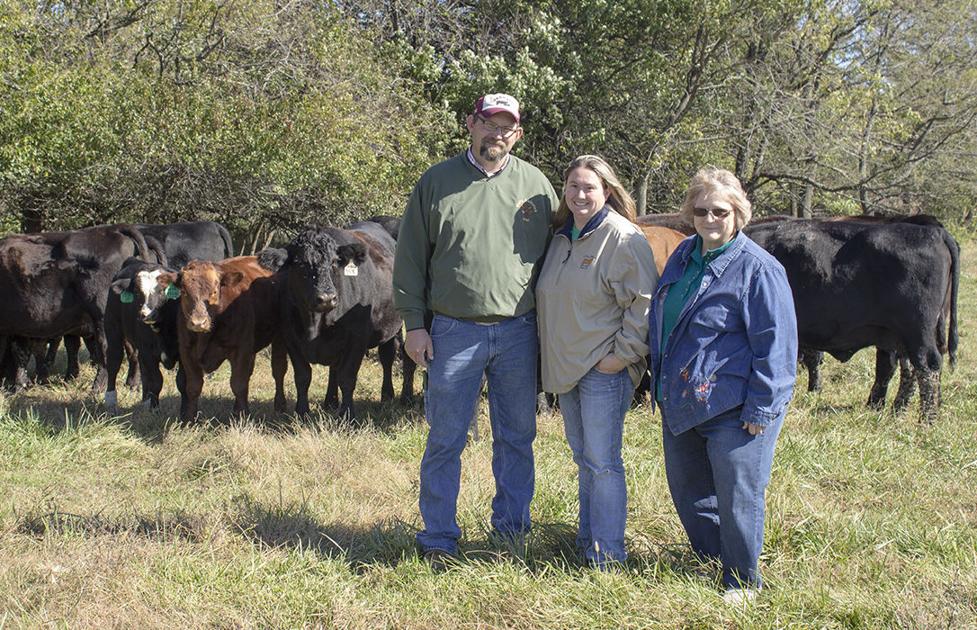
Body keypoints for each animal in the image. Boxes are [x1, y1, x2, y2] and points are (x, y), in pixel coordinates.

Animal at [103, 258, 181, 412]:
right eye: (137, 293)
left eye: (162, 290)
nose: (146, 314)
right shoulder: (148, 352)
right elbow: (156, 380)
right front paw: (154, 408)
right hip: (112, 326)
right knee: (114, 360)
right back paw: (110, 399)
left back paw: (145, 400)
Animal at [156, 256, 287, 421]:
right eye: (184, 291)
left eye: (214, 291)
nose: (198, 322)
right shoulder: (186, 351)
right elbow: (193, 386)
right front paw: (190, 419)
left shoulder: (240, 349)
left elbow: (238, 384)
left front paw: (242, 417)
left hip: (279, 338)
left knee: (278, 370)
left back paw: (280, 406)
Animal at [258, 222, 415, 419]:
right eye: (300, 264)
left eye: (333, 262)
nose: (327, 298)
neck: (315, 323)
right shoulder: (291, 338)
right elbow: (303, 376)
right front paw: (302, 412)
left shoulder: (357, 339)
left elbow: (347, 377)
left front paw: (347, 415)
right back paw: (332, 401)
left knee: (391, 356)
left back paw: (393, 396)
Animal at [744, 218, 959, 423]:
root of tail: (935, 233)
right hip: (901, 337)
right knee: (909, 370)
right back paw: (896, 411)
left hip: (916, 332)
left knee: (927, 368)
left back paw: (926, 421)